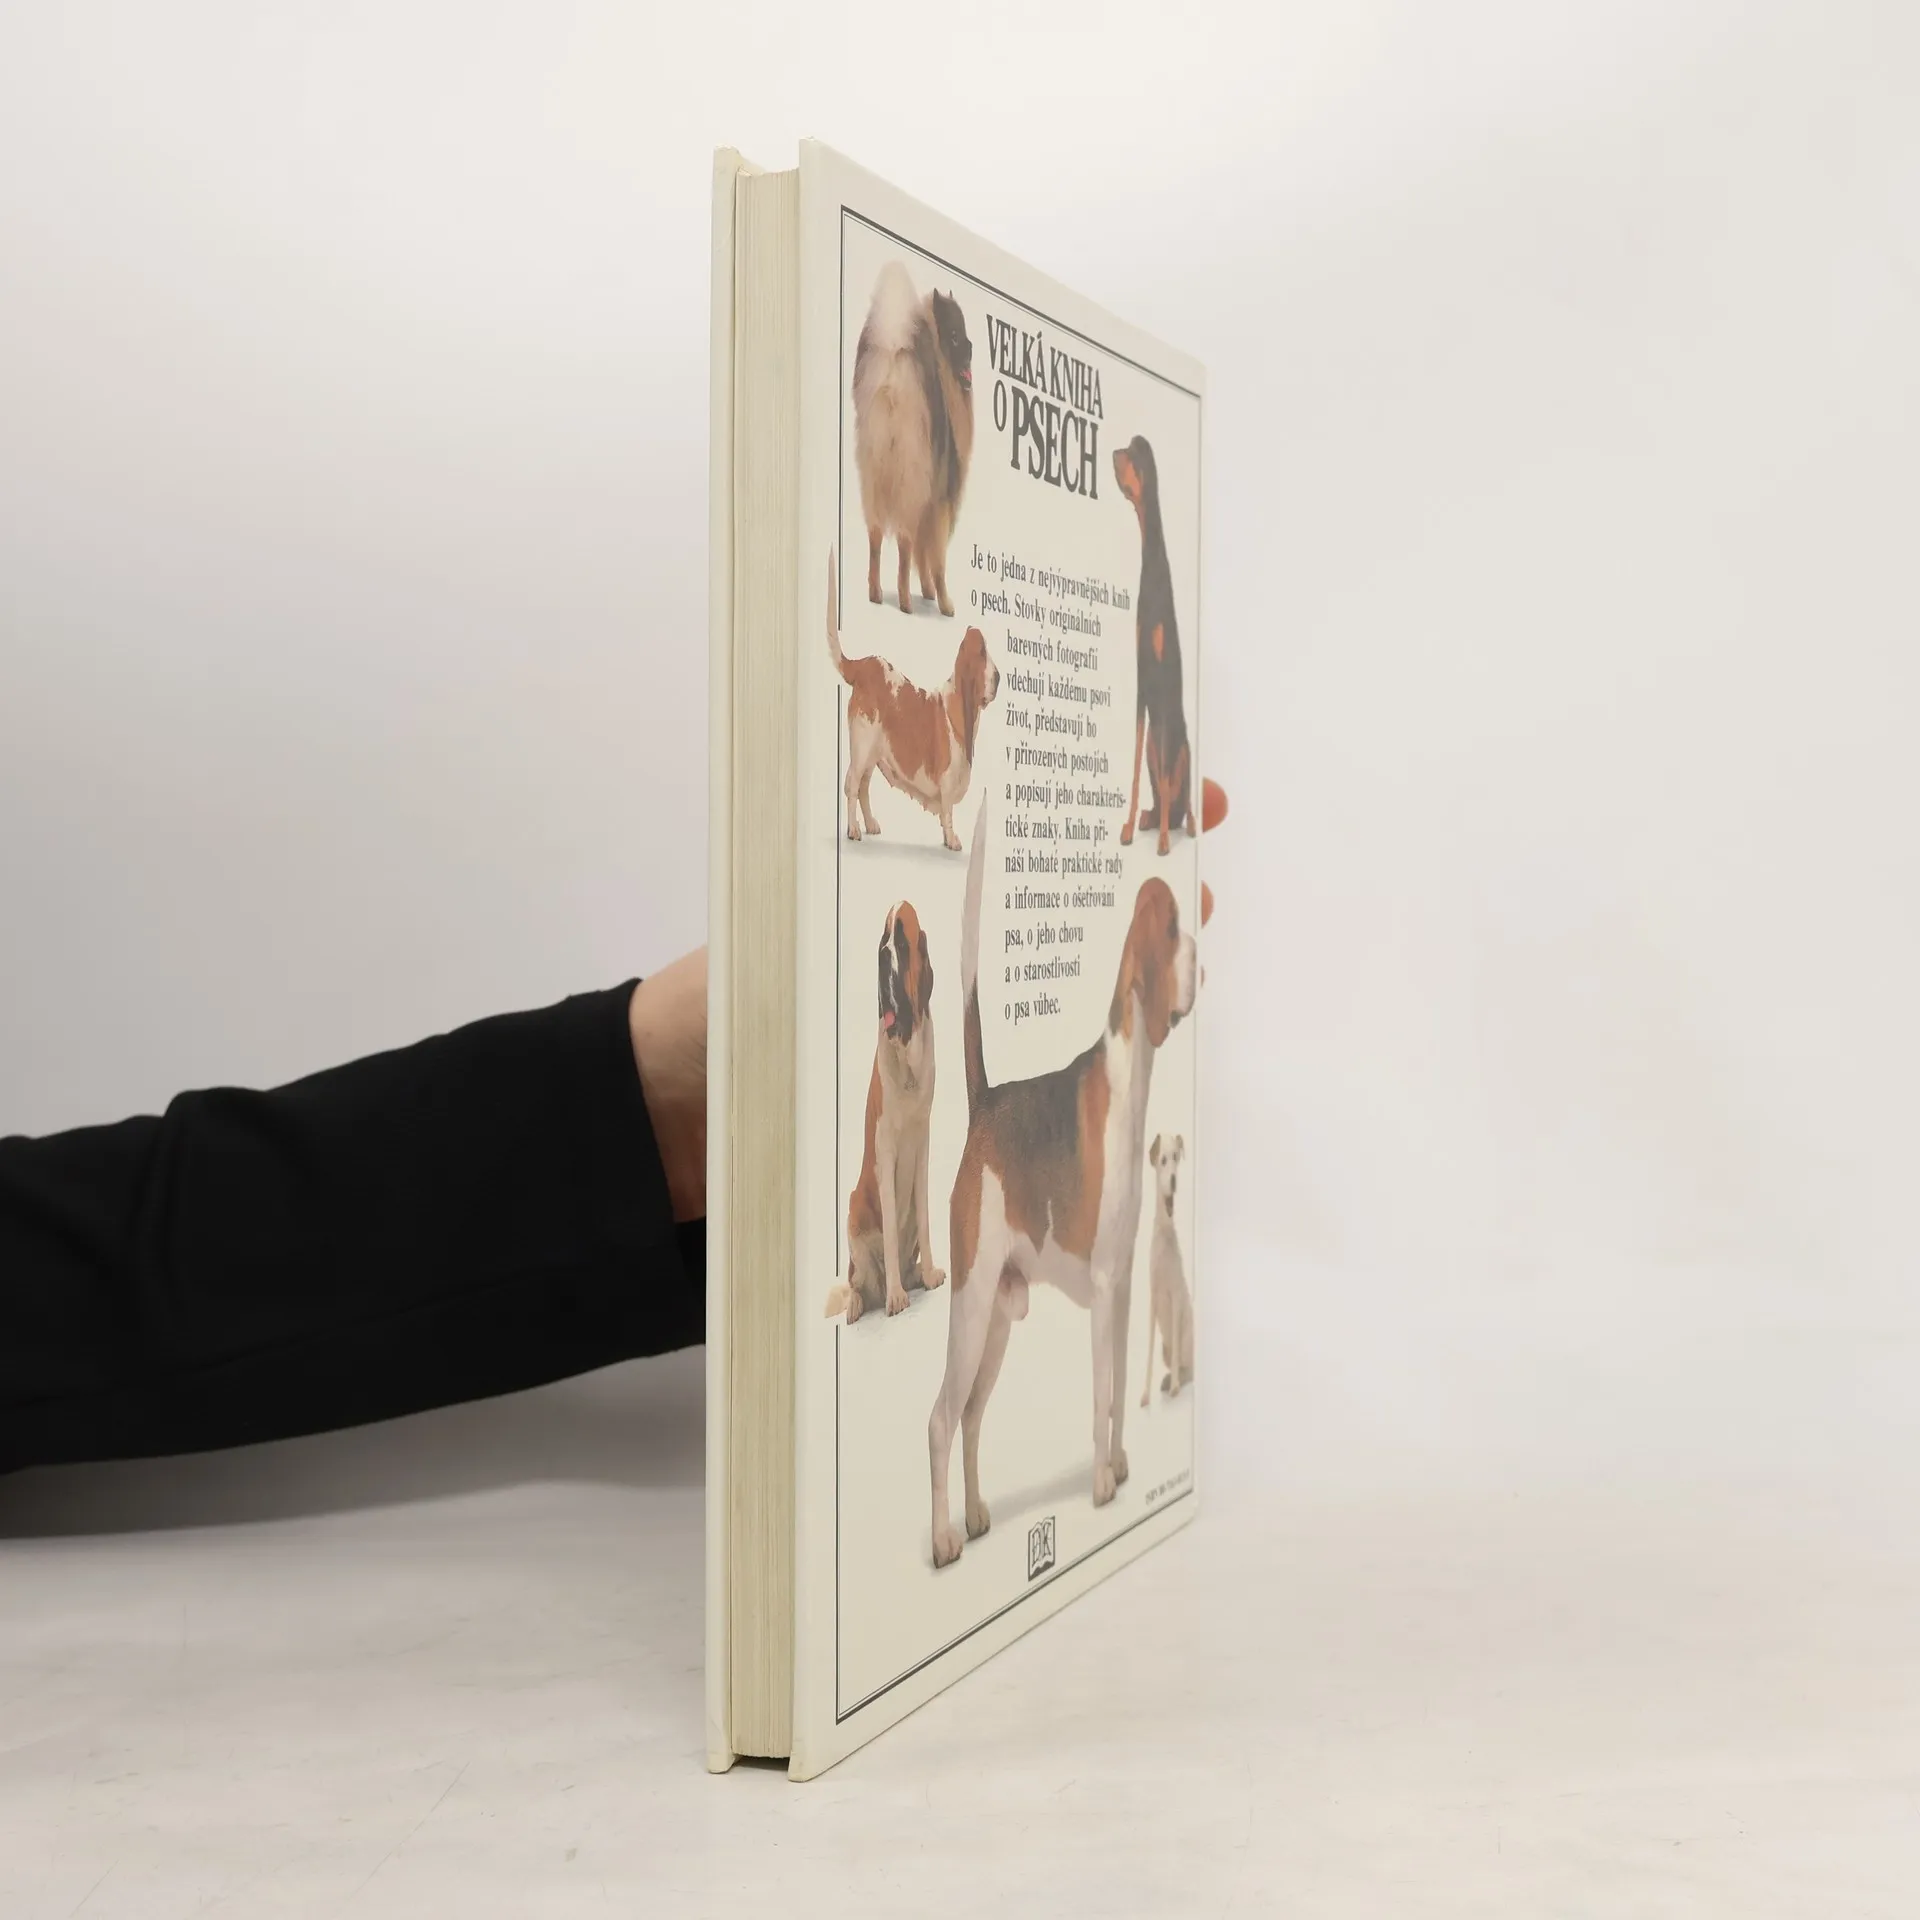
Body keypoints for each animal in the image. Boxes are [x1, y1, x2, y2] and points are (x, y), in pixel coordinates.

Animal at [823, 901, 944, 1324]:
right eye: (882, 942)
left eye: (902, 943)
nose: (880, 958)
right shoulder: (885, 1154)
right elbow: (890, 1228)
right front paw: (896, 1297)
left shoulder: (923, 1145)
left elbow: (923, 1215)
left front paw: (930, 1274)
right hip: (854, 1210)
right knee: (856, 1281)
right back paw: (863, 1302)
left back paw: (913, 1276)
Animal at [826, 550, 999, 852]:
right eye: (981, 652)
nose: (999, 677)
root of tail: (862, 666)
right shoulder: (948, 781)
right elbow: (947, 810)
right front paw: (952, 840)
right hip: (862, 746)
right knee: (851, 784)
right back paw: (854, 829)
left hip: (873, 752)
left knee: (863, 786)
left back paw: (870, 825)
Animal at [853, 262, 975, 617]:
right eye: (954, 336)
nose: (972, 347)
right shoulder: (940, 498)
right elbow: (935, 557)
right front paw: (943, 601)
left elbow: (924, 553)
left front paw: (929, 593)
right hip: (909, 474)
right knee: (905, 541)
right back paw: (906, 601)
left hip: (875, 469)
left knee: (875, 534)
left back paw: (876, 591)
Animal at [927, 799, 1197, 1568]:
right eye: (1173, 929)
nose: (1202, 954)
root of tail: (984, 1106)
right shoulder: (1105, 1289)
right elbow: (1102, 1391)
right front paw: (1103, 1483)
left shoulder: (1128, 1287)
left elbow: (1119, 1390)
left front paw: (1123, 1464)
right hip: (969, 1306)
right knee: (940, 1420)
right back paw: (944, 1538)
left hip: (996, 1318)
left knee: (971, 1416)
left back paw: (977, 1514)